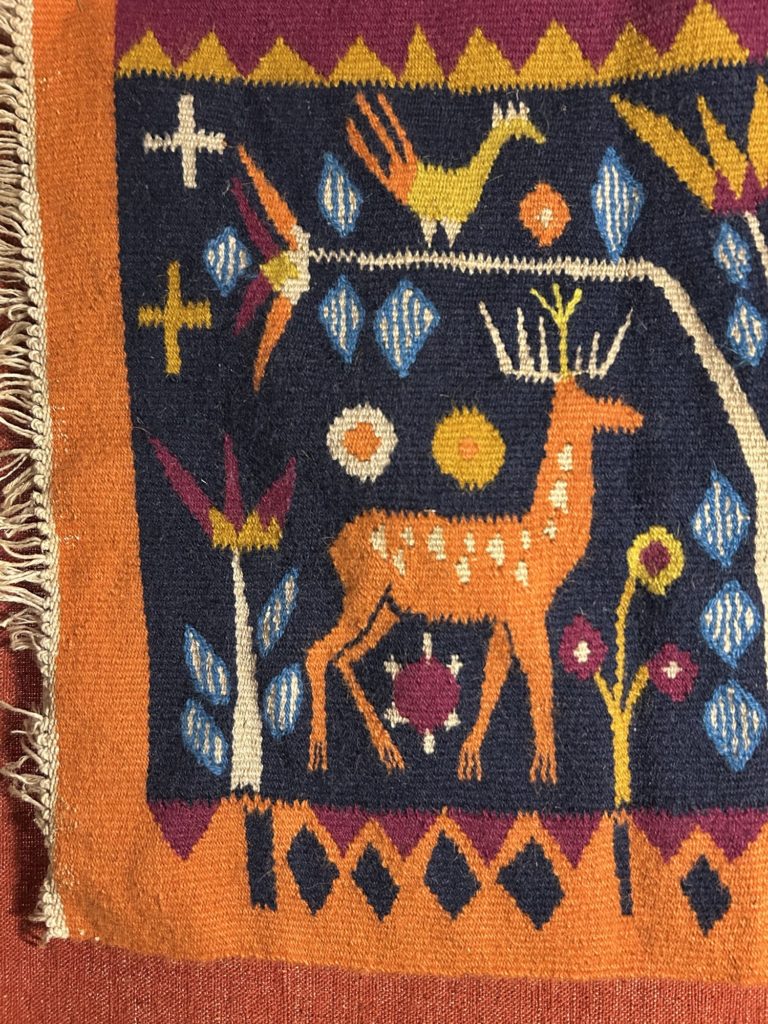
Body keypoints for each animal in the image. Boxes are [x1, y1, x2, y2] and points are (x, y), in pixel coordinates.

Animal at [306, 286, 642, 784]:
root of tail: (336, 543)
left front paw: (470, 761)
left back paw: (389, 753)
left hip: (386, 607)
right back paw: (320, 752)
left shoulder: (505, 618)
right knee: (317, 652)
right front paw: (547, 768)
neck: (543, 540)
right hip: (364, 594)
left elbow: (492, 682)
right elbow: (542, 682)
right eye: (590, 398)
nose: (635, 416)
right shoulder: (526, 610)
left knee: (344, 657)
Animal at [346, 92, 545, 247]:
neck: (471, 175)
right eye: (524, 125)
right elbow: (448, 239)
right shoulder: (453, 216)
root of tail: (409, 175)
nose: (541, 137)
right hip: (427, 211)